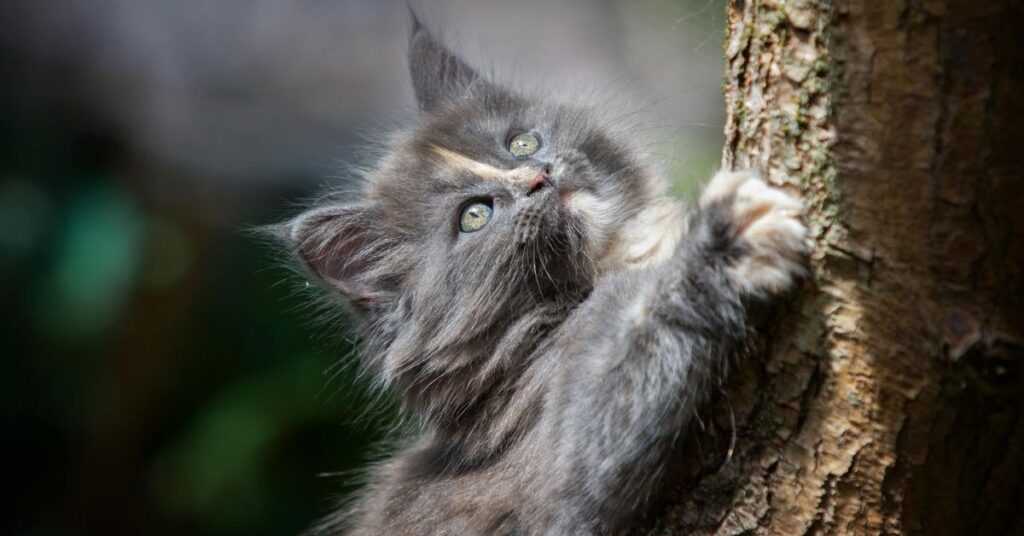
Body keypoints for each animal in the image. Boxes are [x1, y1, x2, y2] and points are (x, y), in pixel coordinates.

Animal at [272, 15, 806, 536]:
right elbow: (636, 343)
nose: (539, 175)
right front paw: (725, 235)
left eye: (522, 143)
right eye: (475, 216)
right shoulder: (560, 456)